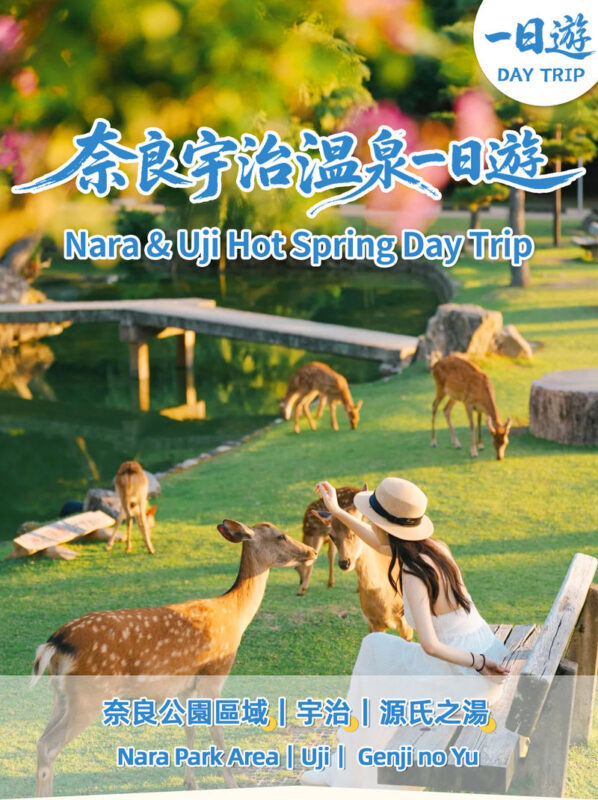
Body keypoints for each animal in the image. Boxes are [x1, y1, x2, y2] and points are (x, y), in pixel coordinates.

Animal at [31, 519, 316, 796]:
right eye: (281, 535)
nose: (311, 552)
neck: (234, 616)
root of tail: (54, 643)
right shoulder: (214, 674)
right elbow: (217, 732)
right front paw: (232, 785)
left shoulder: (186, 685)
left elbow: (190, 727)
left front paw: (190, 782)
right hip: (90, 692)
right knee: (50, 746)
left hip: (62, 694)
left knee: (41, 741)